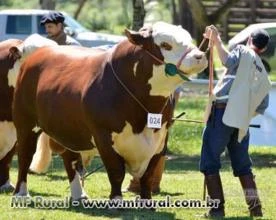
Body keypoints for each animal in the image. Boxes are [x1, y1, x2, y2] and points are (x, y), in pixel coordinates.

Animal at [12, 21, 207, 199]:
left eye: (189, 38)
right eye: (166, 45)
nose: (200, 56)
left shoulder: (161, 139)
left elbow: (148, 174)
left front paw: (146, 201)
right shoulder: (103, 136)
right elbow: (116, 171)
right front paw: (116, 199)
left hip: (70, 130)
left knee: (71, 159)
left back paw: (79, 195)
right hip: (25, 123)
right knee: (25, 156)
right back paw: (21, 193)